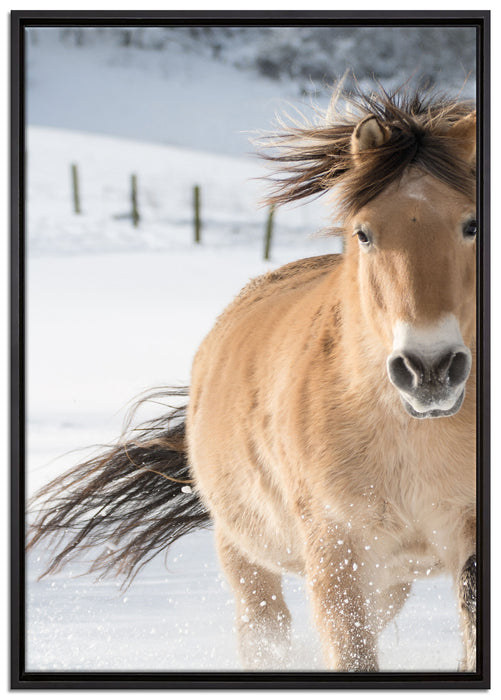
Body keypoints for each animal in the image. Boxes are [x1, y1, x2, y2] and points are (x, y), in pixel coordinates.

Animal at [28, 85, 478, 672]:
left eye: (472, 225)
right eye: (364, 232)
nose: (430, 368)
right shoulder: (339, 553)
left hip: (389, 578)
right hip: (244, 552)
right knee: (265, 631)